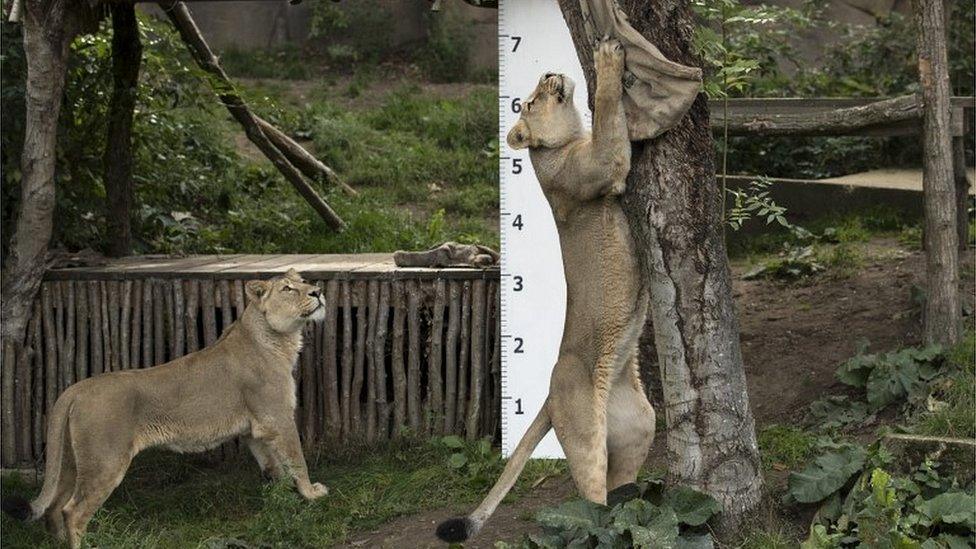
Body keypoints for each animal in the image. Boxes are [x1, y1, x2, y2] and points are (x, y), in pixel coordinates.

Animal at [0, 268, 328, 544]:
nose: (318, 291)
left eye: (304, 281)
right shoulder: (277, 418)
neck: (278, 339)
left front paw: (285, 503)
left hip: (71, 462)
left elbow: (274, 470)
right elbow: (297, 460)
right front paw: (312, 494)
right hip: (105, 461)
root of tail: (74, 389)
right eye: (288, 288)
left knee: (54, 507)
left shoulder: (254, 431)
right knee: (73, 511)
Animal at [436, 36, 656, 540]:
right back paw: (603, 529)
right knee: (592, 500)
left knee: (620, 486)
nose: (548, 73)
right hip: (585, 433)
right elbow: (609, 113)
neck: (562, 144)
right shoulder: (603, 166)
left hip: (640, 424)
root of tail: (549, 397)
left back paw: (637, 513)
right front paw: (607, 59)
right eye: (532, 101)